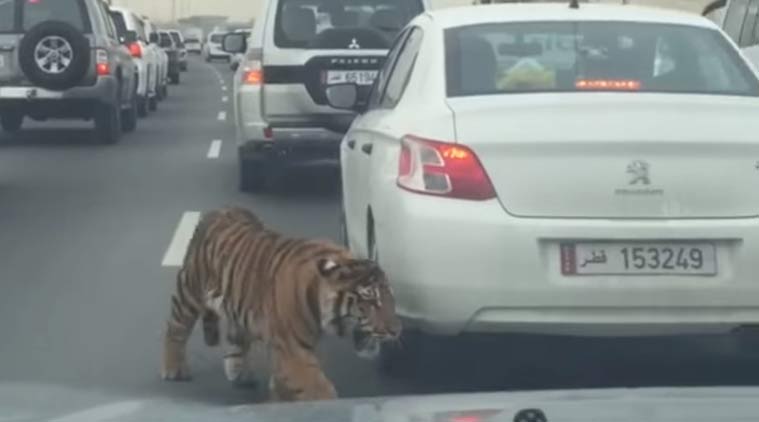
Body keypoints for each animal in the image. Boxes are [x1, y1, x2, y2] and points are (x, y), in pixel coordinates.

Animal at [158, 206, 400, 400]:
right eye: (370, 299)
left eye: (391, 297)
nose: (396, 330)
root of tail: (219, 210)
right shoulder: (293, 350)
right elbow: (317, 388)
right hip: (189, 290)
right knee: (175, 328)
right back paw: (174, 369)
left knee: (236, 338)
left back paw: (240, 373)